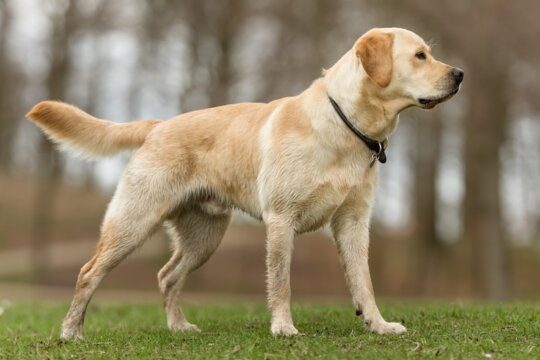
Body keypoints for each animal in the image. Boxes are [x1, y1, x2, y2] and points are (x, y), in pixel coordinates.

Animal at [27, 27, 462, 338]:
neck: (346, 127)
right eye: (420, 55)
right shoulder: (282, 219)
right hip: (133, 223)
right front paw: (284, 328)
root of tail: (158, 124)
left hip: (204, 237)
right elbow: (281, 282)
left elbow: (364, 282)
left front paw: (378, 324)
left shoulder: (354, 222)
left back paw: (178, 327)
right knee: (89, 272)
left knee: (167, 276)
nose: (460, 74)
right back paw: (71, 331)